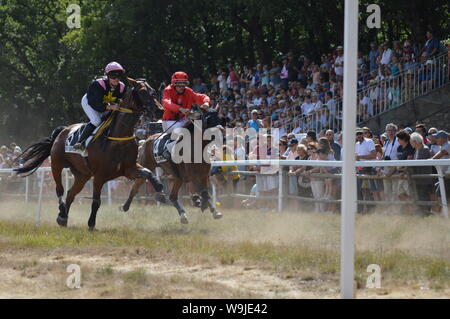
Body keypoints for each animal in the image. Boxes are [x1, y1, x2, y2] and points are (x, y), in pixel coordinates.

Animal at [15, 79, 168, 231]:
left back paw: (63, 218)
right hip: (56, 165)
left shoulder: (128, 169)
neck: (118, 138)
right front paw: (91, 224)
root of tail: (62, 130)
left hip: (82, 175)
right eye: (142, 92)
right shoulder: (100, 176)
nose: (160, 110)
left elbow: (148, 173)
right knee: (60, 190)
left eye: (153, 91)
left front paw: (160, 192)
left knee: (70, 193)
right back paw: (62, 212)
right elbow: (96, 201)